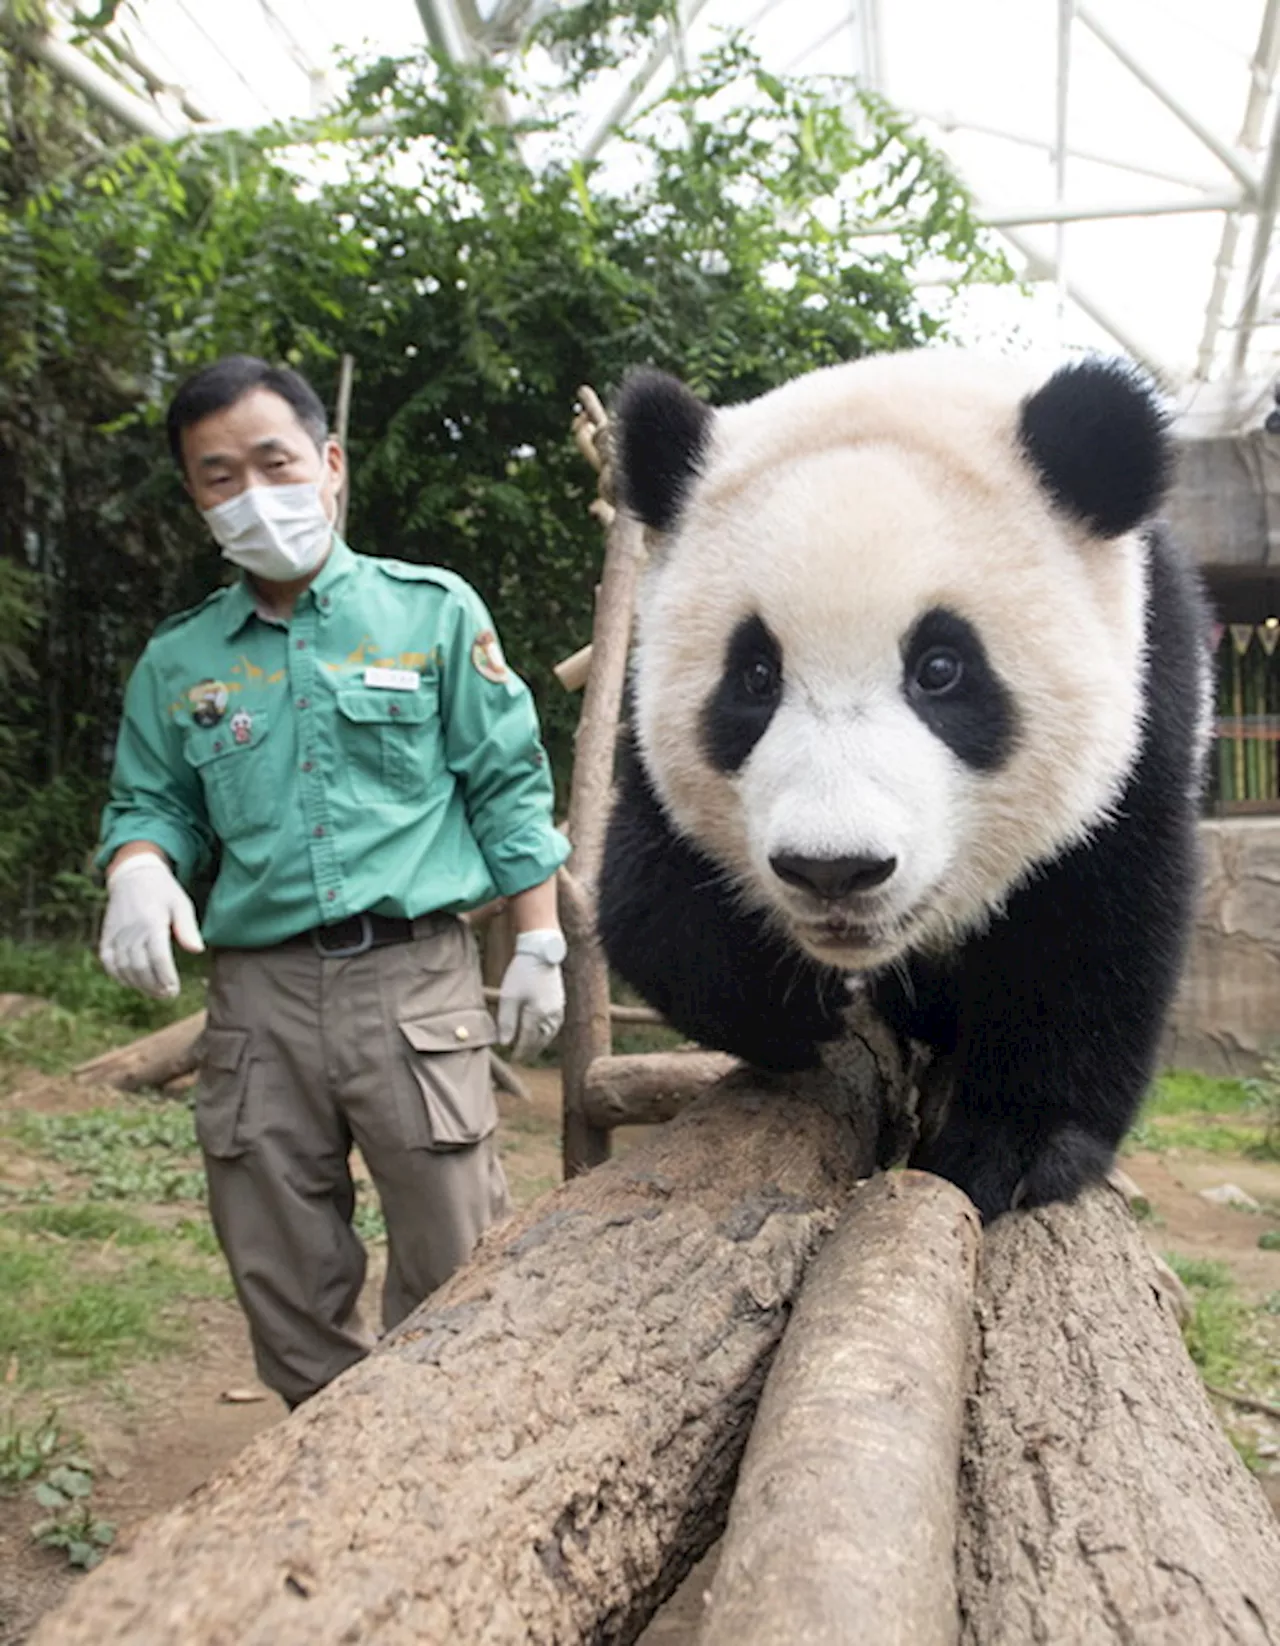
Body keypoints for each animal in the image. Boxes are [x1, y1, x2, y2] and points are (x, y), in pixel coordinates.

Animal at [598, 347, 1204, 1224]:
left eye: (941, 669)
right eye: (755, 676)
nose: (833, 869)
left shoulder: (1150, 692)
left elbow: (1096, 917)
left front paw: (1018, 1147)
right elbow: (647, 892)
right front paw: (781, 1011)